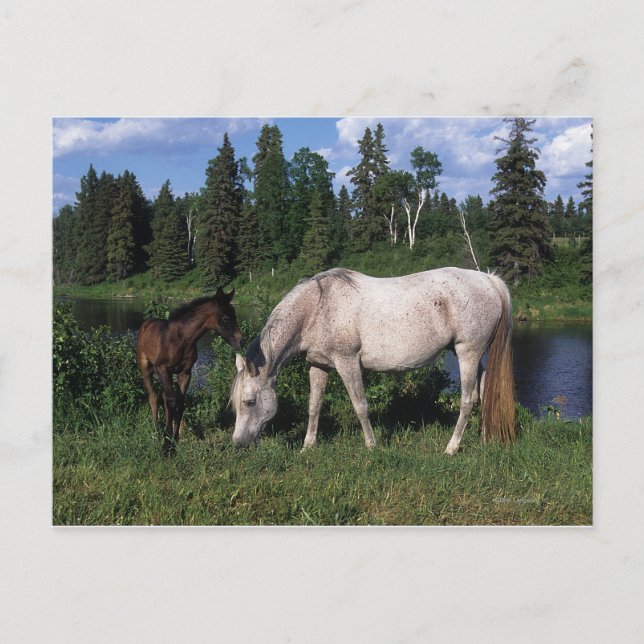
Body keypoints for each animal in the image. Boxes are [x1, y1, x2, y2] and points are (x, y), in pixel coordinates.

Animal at [136, 287, 243, 453]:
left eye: (235, 315)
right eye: (226, 318)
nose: (241, 341)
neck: (181, 339)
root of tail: (146, 324)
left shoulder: (185, 372)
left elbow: (180, 402)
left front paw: (175, 439)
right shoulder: (162, 369)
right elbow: (172, 401)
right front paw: (166, 445)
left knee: (163, 396)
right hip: (146, 368)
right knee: (153, 396)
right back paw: (155, 431)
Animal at [230, 267, 515, 454]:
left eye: (250, 401)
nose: (238, 443)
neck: (317, 306)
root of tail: (489, 280)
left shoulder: (347, 362)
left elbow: (360, 406)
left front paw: (371, 445)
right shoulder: (319, 366)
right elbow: (314, 406)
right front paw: (308, 446)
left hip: (468, 353)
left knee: (467, 400)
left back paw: (451, 448)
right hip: (470, 355)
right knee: (483, 392)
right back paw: (484, 438)